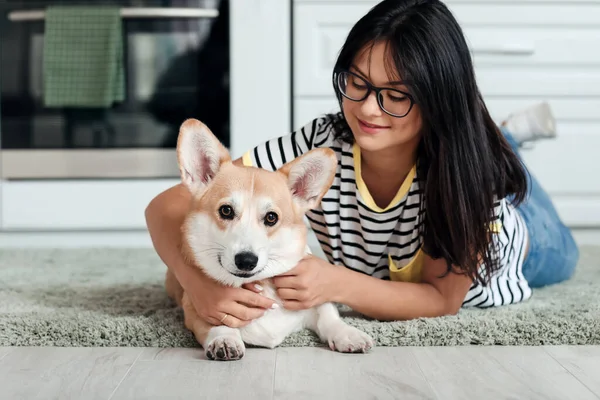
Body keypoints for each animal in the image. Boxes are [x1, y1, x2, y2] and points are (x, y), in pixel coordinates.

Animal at [165, 119, 376, 362]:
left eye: (271, 217)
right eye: (226, 211)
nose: (246, 261)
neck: (262, 283)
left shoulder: (315, 302)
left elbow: (328, 314)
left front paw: (348, 334)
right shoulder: (198, 308)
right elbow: (217, 323)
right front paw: (225, 340)